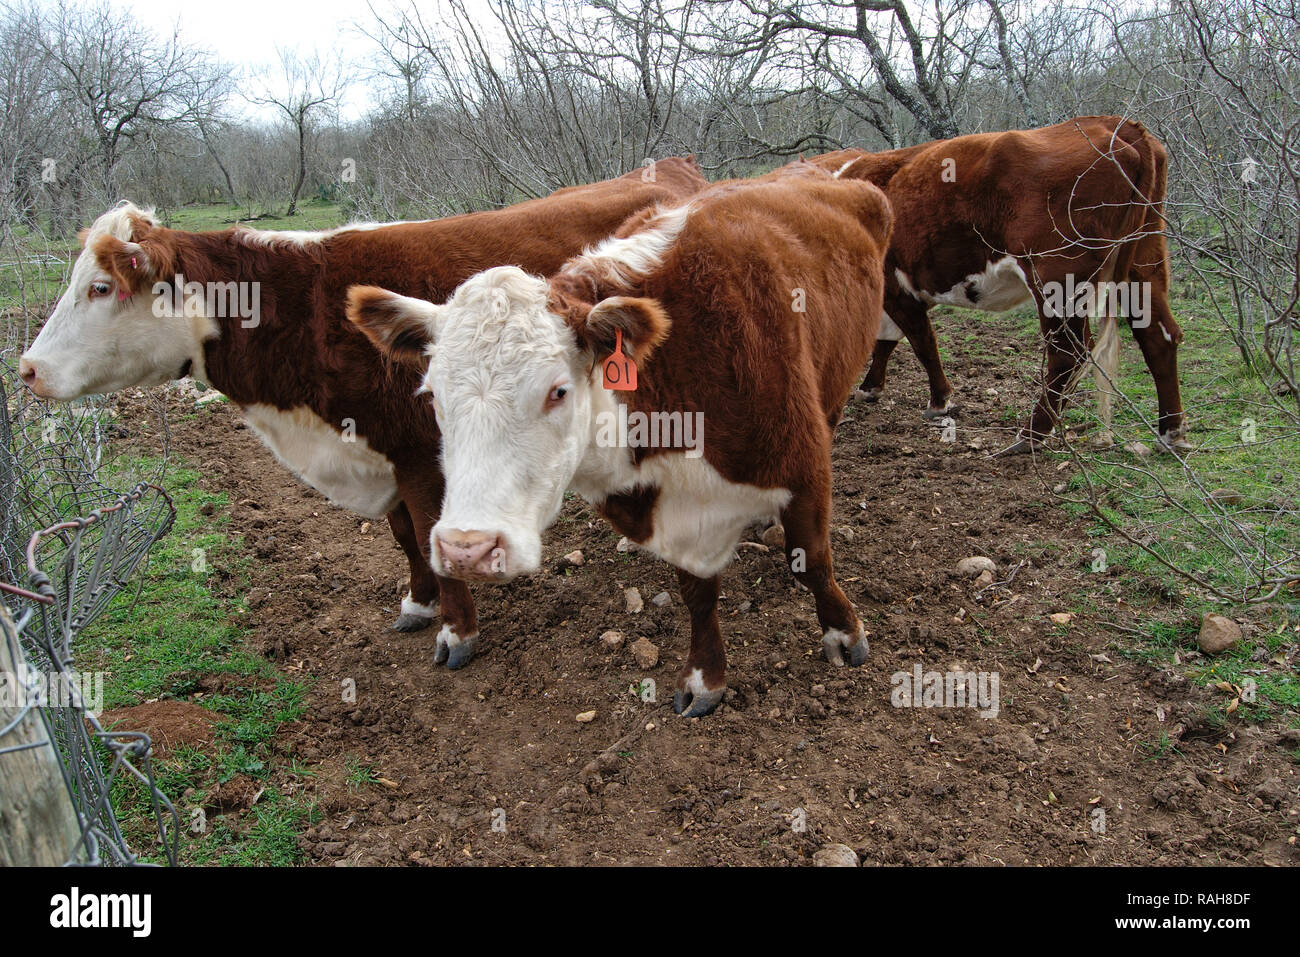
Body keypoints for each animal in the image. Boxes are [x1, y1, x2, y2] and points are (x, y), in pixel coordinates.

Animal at [17, 157, 712, 665]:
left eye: (99, 287)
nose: (27, 369)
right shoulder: (382, 451)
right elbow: (406, 536)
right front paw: (418, 604)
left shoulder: (420, 455)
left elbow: (431, 532)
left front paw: (457, 633)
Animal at [345, 164, 894, 717]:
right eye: (432, 394)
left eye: (558, 391)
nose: (466, 551)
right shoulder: (670, 506)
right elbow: (697, 592)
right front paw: (704, 677)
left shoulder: (804, 467)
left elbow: (813, 561)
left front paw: (844, 634)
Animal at [811, 115, 1190, 452]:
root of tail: (1116, 124)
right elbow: (889, 338)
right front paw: (872, 387)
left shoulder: (894, 285)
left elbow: (921, 341)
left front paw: (940, 400)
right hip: (1144, 263)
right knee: (1159, 335)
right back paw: (1171, 433)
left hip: (1057, 278)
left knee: (1069, 352)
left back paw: (1031, 435)